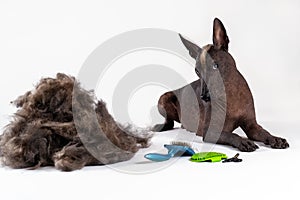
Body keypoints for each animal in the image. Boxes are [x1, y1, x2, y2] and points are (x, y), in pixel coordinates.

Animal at [154, 18, 290, 152]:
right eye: (197, 71)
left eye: (215, 66)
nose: (204, 97)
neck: (230, 93)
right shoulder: (210, 131)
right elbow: (231, 134)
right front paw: (243, 141)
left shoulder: (251, 125)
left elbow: (264, 133)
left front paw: (275, 139)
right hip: (163, 98)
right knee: (169, 122)